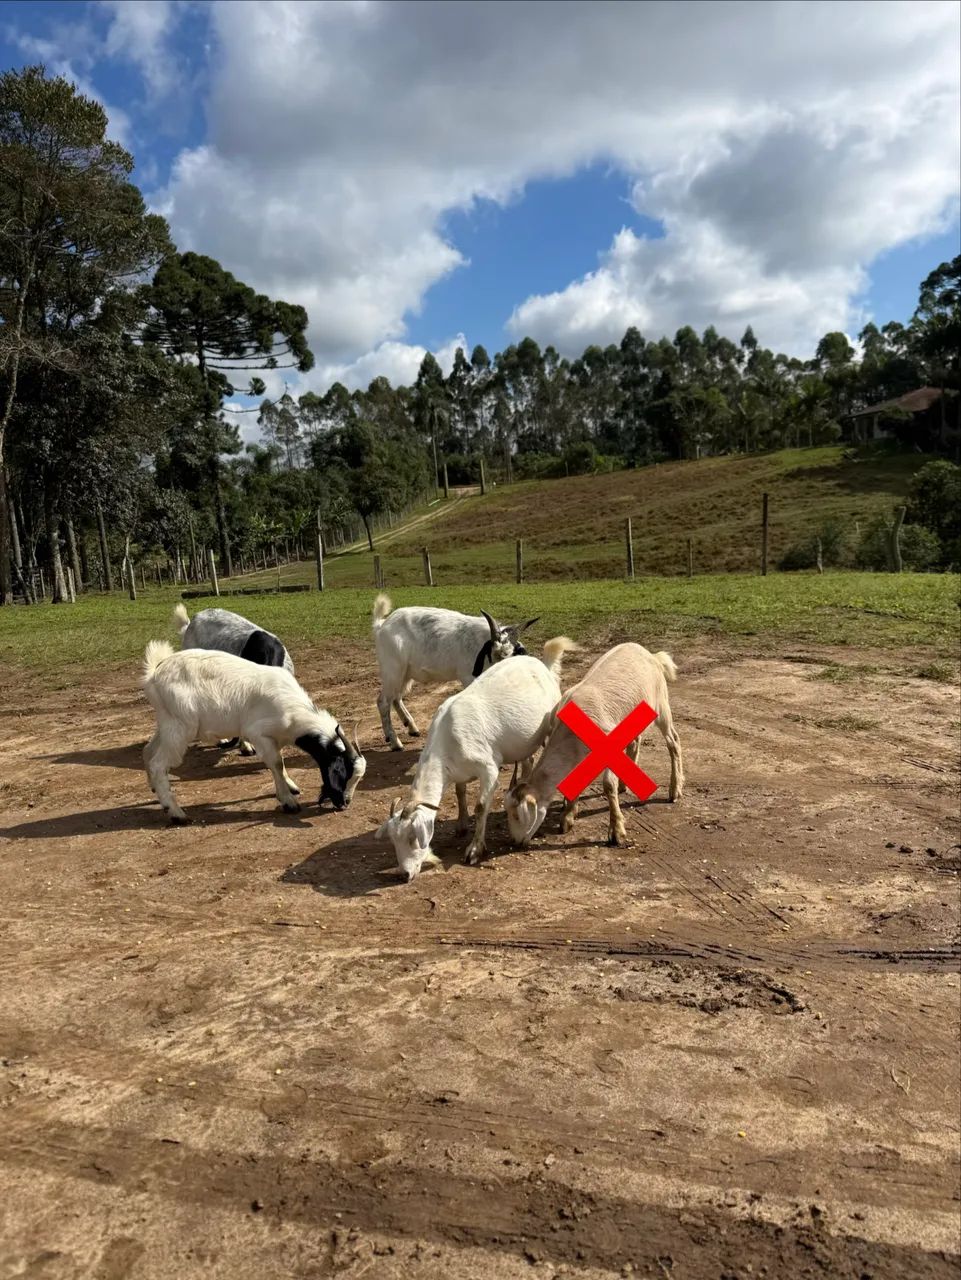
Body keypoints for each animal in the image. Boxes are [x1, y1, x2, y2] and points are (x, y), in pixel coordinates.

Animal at [141, 641, 365, 824]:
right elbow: (276, 763)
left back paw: (154, 789)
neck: (293, 712)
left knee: (148, 751)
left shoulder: (275, 737)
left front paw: (291, 786)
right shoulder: (258, 733)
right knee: (158, 764)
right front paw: (288, 801)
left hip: (167, 723)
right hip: (180, 727)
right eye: (342, 772)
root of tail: (154, 675)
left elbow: (280, 762)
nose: (344, 803)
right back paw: (176, 813)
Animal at [372, 593, 539, 751]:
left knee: (396, 698)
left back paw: (412, 728)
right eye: (494, 655)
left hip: (405, 673)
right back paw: (395, 742)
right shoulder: (468, 677)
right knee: (383, 702)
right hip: (393, 669)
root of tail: (382, 625)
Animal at [376, 636, 576, 880]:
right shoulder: (457, 771)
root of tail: (542, 665)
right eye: (393, 841)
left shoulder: (488, 768)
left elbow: (481, 806)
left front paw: (474, 849)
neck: (447, 740)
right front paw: (461, 825)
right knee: (528, 761)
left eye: (413, 838)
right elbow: (460, 793)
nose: (404, 874)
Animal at [505, 642, 683, 848]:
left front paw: (616, 831)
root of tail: (650, 654)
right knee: (635, 742)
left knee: (673, 742)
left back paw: (675, 790)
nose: (515, 842)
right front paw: (568, 817)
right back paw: (625, 784)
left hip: (661, 705)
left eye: (517, 816)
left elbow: (608, 785)